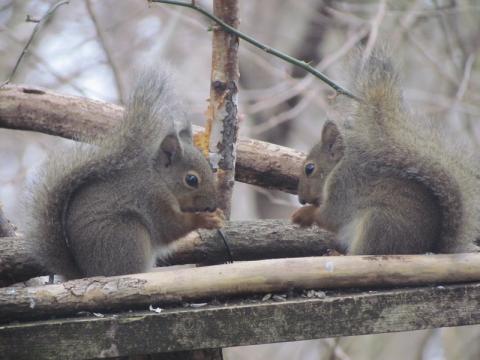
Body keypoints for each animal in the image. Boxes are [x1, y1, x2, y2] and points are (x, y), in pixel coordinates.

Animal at [23, 70, 223, 278]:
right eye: (191, 180)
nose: (212, 205)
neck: (159, 178)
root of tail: (86, 273)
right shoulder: (152, 199)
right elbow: (170, 227)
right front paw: (204, 219)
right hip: (129, 235)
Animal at [290, 48, 480, 256]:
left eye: (309, 169)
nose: (301, 200)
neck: (338, 166)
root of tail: (428, 249)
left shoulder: (344, 186)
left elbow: (329, 216)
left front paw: (303, 214)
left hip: (379, 223)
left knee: (364, 253)